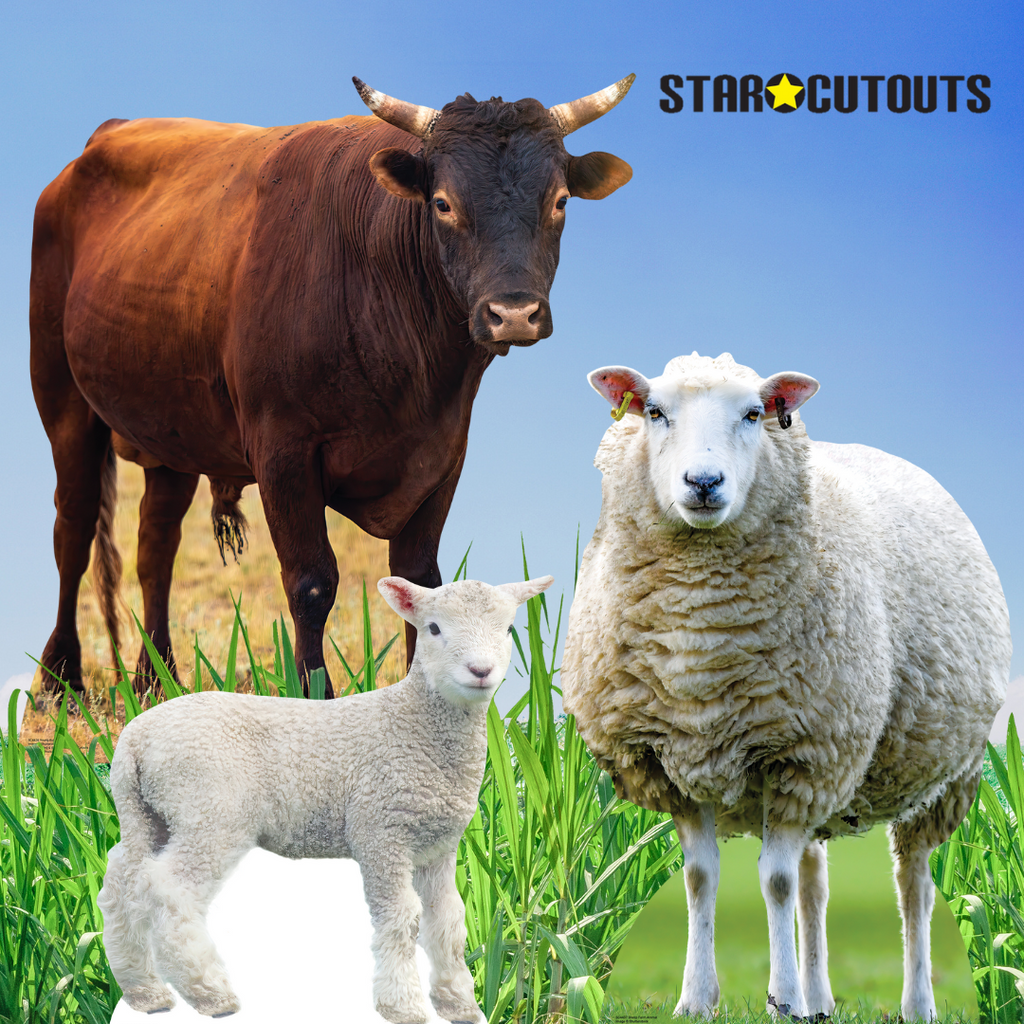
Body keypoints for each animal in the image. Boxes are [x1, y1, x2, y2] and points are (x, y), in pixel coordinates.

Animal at [97, 573, 553, 1023]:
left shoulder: (437, 846)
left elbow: (448, 920)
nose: (481, 670)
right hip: (209, 809)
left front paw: (459, 1004)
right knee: (169, 889)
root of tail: (134, 739)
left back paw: (143, 990)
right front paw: (402, 1006)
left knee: (121, 882)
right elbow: (401, 918)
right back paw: (209, 992)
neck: (415, 724)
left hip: (147, 812)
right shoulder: (380, 830)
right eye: (434, 628)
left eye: (507, 629)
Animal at [561, 352, 1010, 1021]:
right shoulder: (674, 764)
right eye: (654, 412)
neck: (702, 643)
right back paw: (822, 997)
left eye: (754, 414)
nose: (703, 482)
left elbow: (773, 882)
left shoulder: (802, 757)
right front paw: (697, 999)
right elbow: (701, 878)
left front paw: (784, 997)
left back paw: (915, 1001)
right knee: (814, 882)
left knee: (913, 884)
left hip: (944, 777)